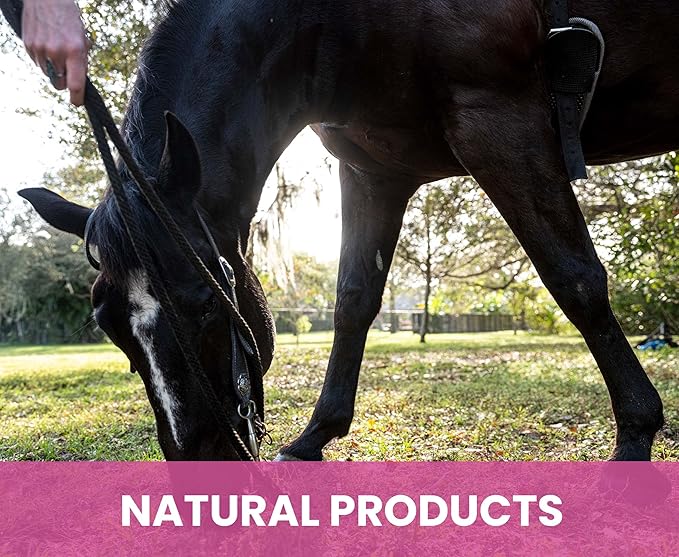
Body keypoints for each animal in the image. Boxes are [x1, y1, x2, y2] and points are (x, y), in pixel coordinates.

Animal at [10, 0, 677, 461]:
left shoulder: (501, 121)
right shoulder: (373, 169)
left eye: (202, 303)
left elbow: (575, 278)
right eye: (108, 326)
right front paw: (316, 435)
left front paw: (637, 432)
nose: (199, 459)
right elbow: (354, 300)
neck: (332, 18)